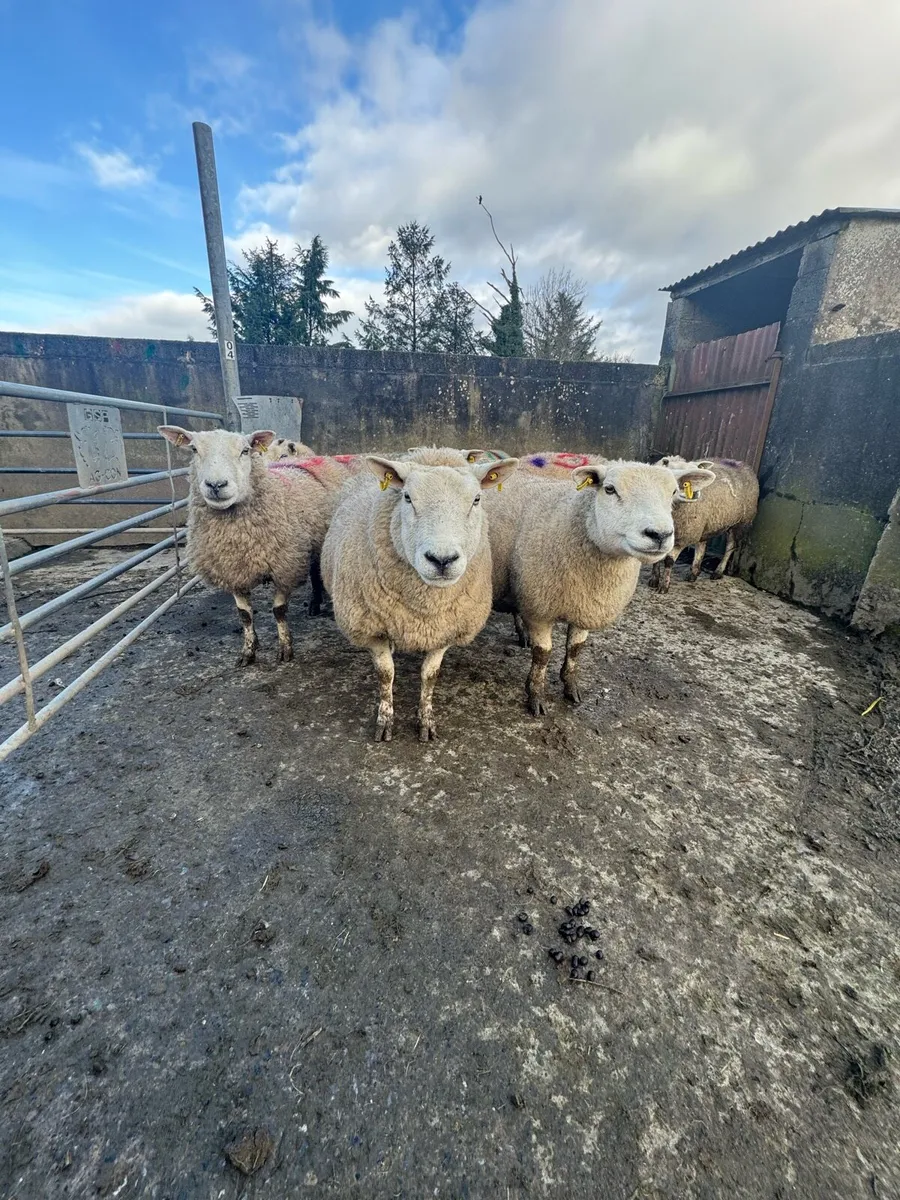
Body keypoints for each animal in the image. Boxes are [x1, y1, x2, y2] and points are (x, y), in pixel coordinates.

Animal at [158, 428, 357, 664]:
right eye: (194, 449)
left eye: (245, 450)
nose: (216, 485)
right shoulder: (232, 571)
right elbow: (244, 615)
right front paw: (249, 650)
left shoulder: (285, 567)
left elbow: (279, 610)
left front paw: (285, 648)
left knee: (315, 572)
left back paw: (315, 603)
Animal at [321, 447, 519, 742]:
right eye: (407, 497)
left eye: (477, 499)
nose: (442, 559)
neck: (424, 609)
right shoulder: (372, 628)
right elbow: (386, 675)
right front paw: (385, 721)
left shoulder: (444, 629)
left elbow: (430, 676)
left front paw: (426, 721)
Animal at [483, 460, 715, 714]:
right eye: (610, 489)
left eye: (674, 492)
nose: (659, 534)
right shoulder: (539, 609)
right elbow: (542, 656)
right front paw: (536, 695)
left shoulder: (587, 606)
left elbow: (575, 649)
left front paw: (571, 687)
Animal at [648, 455, 760, 593]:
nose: (694, 494)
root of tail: (742, 463)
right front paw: (654, 580)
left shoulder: (684, 536)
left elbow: (668, 561)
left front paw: (664, 586)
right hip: (705, 523)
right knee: (702, 544)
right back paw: (694, 572)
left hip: (740, 523)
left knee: (730, 546)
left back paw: (718, 572)